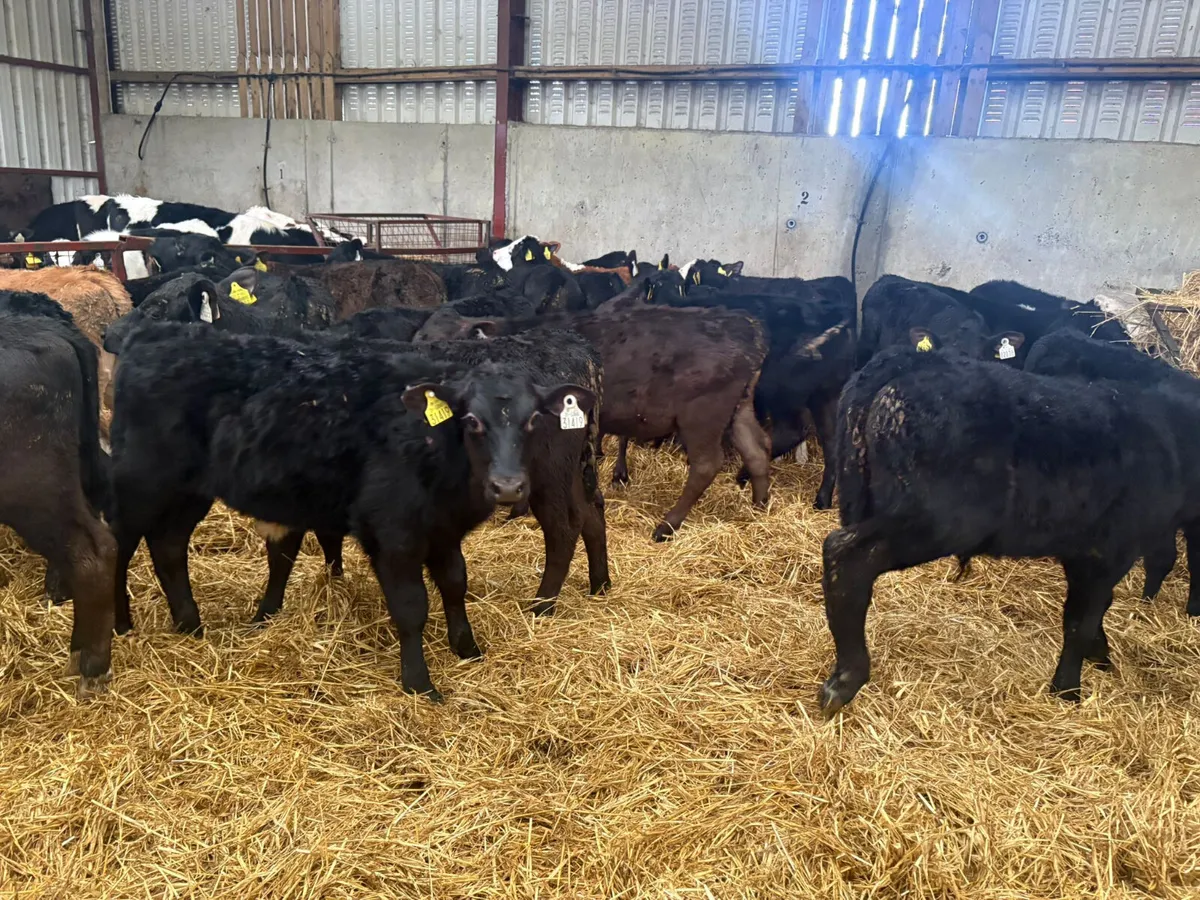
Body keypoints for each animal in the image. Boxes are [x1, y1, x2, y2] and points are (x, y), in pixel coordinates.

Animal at [108, 324, 594, 700]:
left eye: (533, 420)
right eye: (472, 420)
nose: (508, 486)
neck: (436, 447)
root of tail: (154, 334)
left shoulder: (442, 530)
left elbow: (456, 584)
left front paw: (468, 649)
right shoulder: (393, 533)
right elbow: (411, 606)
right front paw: (420, 684)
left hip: (188, 492)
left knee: (168, 547)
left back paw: (190, 625)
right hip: (141, 482)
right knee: (119, 544)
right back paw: (121, 624)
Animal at [415, 304, 771, 542]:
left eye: (441, 339)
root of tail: (747, 325)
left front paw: (517, 510)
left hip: (702, 415)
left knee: (706, 465)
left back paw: (667, 525)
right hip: (738, 410)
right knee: (757, 450)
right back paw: (760, 507)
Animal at [819, 346, 1200, 715]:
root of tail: (905, 359)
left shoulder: (1082, 551)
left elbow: (1095, 610)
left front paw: (1098, 654)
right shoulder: (1109, 550)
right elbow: (1081, 620)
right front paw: (1067, 690)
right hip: (932, 522)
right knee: (846, 557)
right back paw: (845, 680)